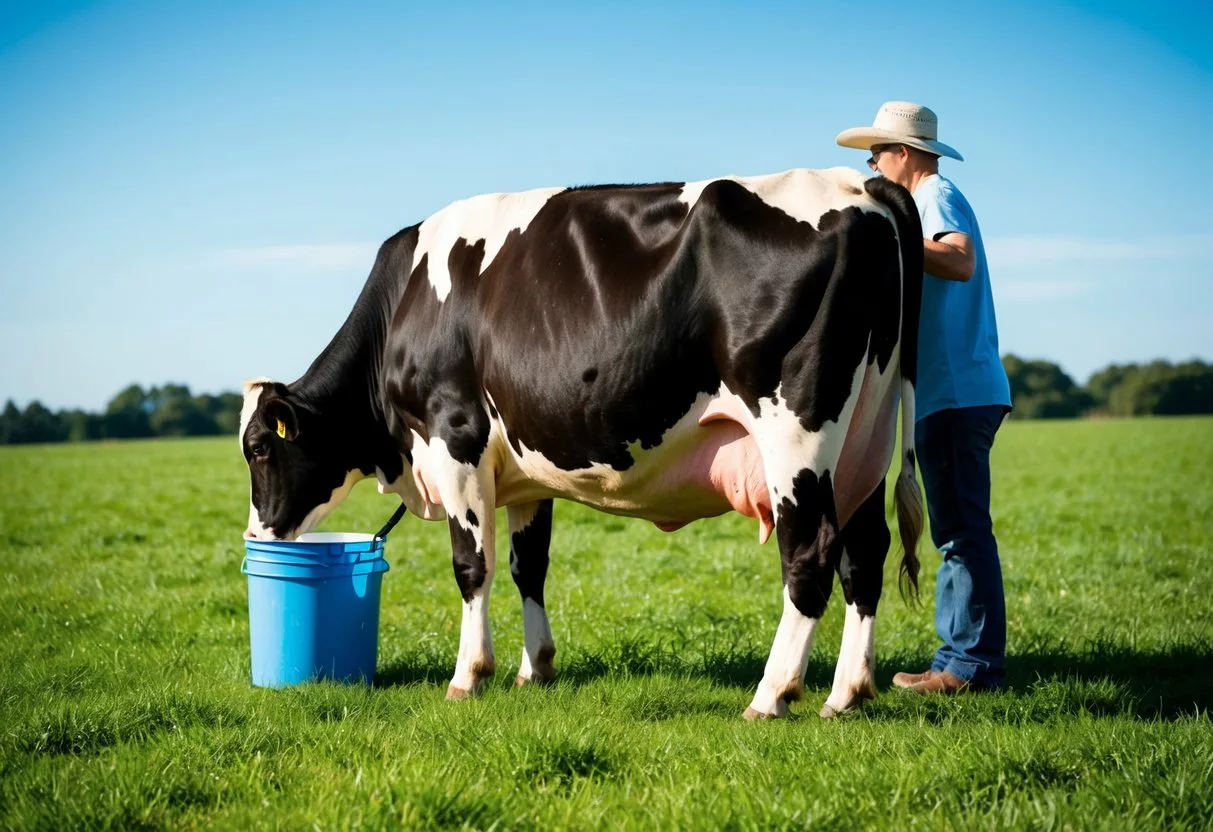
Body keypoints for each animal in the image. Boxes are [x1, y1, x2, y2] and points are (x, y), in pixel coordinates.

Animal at [236, 166, 921, 717]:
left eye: (260, 449)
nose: (256, 534)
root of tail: (858, 186)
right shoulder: (522, 473)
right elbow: (527, 566)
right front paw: (533, 668)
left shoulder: (455, 436)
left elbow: (471, 565)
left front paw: (468, 677)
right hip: (866, 438)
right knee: (866, 553)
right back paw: (847, 693)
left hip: (796, 433)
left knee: (811, 554)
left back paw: (772, 694)